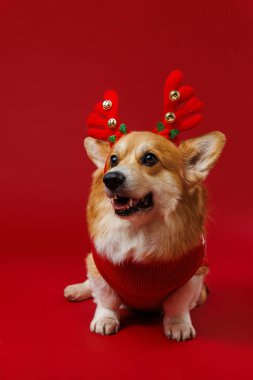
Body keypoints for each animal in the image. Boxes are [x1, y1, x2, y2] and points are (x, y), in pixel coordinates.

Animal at [64, 71, 226, 342]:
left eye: (150, 158)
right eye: (113, 160)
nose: (111, 178)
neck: (138, 230)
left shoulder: (192, 277)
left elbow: (177, 305)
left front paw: (178, 325)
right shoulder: (101, 268)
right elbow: (106, 299)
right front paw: (105, 320)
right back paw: (77, 290)